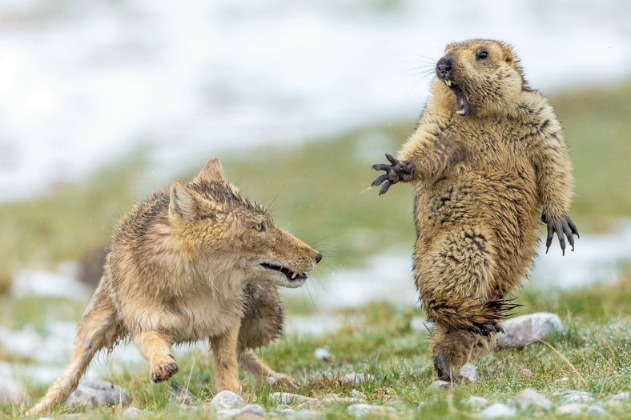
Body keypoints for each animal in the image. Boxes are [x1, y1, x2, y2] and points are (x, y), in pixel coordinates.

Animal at [27, 158, 324, 416]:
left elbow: (227, 363)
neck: (196, 290)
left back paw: (278, 380)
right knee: (68, 377)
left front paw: (234, 394)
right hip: (94, 328)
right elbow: (154, 345)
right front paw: (162, 365)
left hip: (265, 323)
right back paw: (37, 410)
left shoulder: (227, 323)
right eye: (259, 227)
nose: (318, 255)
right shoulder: (144, 323)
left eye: (269, 224)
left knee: (245, 351)